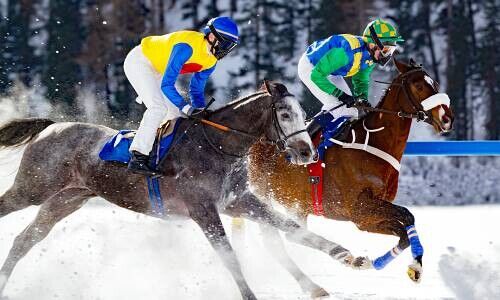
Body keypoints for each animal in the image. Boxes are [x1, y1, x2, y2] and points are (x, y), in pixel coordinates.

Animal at [0, 81, 368, 298]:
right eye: (285, 114)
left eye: (303, 112)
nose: (307, 152)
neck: (218, 146)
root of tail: (52, 126)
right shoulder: (202, 208)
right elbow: (230, 256)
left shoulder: (239, 202)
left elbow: (293, 231)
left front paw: (347, 260)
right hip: (33, 188)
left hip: (66, 199)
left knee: (25, 240)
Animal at [240, 57, 456, 294]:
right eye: (418, 85)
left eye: (435, 82)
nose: (447, 118)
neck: (372, 143)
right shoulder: (359, 209)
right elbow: (407, 216)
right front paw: (414, 266)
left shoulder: (367, 217)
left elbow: (403, 233)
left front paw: (378, 264)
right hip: (264, 195)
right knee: (280, 238)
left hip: (296, 204)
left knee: (293, 234)